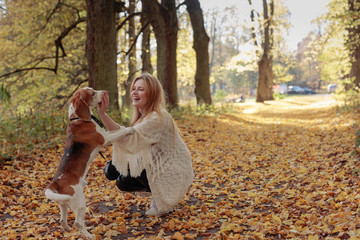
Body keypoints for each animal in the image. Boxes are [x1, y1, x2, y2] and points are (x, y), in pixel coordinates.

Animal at [45, 87, 134, 238]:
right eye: (92, 92)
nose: (104, 91)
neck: (78, 117)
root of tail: (55, 182)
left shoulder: (107, 134)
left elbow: (117, 130)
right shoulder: (105, 138)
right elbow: (119, 132)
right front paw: (129, 129)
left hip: (63, 203)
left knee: (63, 220)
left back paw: (67, 229)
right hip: (80, 203)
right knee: (78, 223)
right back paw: (89, 235)